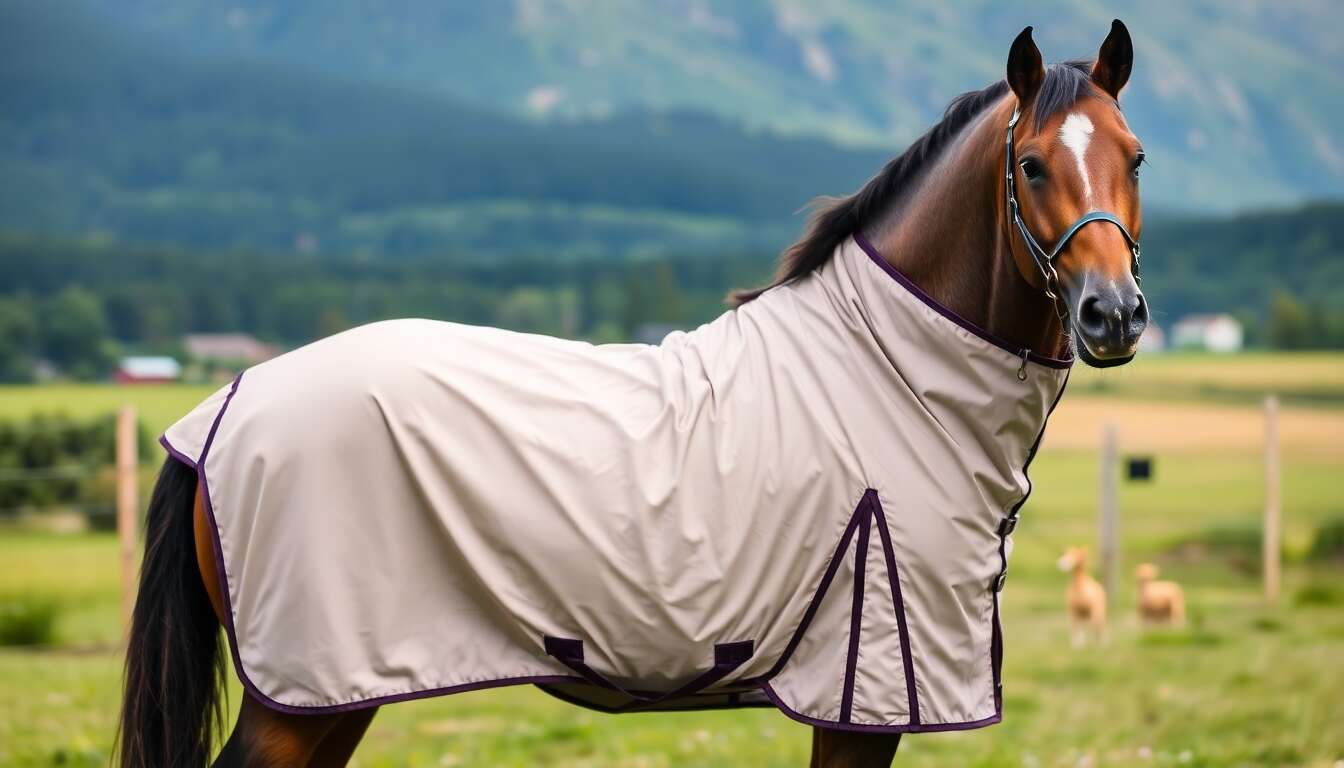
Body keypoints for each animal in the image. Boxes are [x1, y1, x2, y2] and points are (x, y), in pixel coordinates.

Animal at [118, 21, 1147, 768]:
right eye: (1031, 164)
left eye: (1134, 157)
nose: (1113, 315)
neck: (888, 367)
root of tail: (219, 412)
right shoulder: (862, 700)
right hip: (297, 698)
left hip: (340, 695)